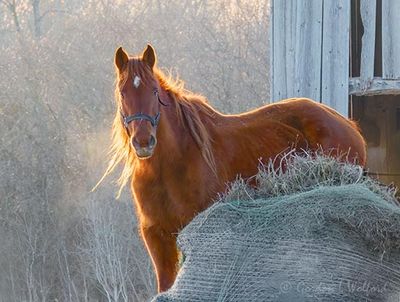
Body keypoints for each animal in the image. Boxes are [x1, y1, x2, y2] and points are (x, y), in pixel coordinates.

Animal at [101, 44, 366, 292]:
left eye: (154, 91)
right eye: (122, 93)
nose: (143, 142)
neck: (169, 167)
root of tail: (349, 125)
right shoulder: (156, 236)